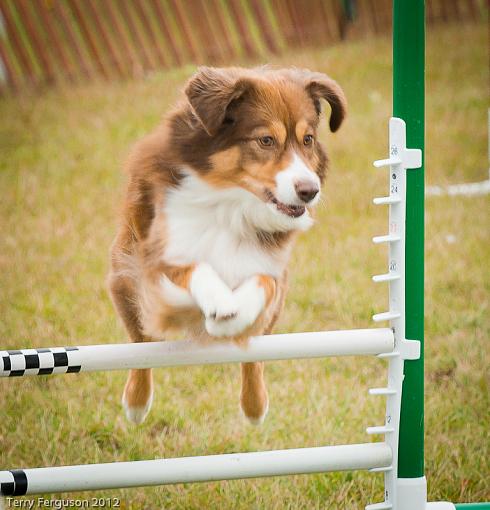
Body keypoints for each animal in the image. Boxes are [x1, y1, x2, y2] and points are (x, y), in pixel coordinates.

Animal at [108, 67, 344, 426]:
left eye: (308, 139)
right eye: (265, 140)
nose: (309, 191)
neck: (231, 203)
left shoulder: (272, 269)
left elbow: (263, 284)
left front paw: (234, 315)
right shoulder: (157, 256)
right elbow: (194, 267)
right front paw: (218, 301)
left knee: (254, 358)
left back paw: (255, 407)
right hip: (124, 281)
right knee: (140, 345)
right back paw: (136, 404)